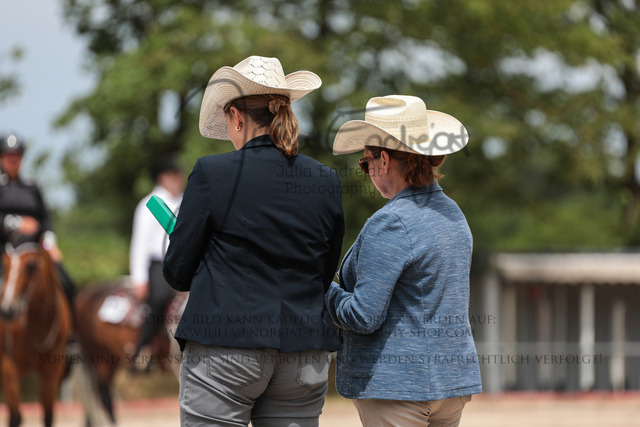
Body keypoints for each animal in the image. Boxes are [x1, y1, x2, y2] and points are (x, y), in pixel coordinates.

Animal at [0, 242, 73, 427]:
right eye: (4, 264)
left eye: (30, 266)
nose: (7, 310)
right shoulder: (8, 366)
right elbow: (15, 416)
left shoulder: (53, 369)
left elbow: (48, 414)